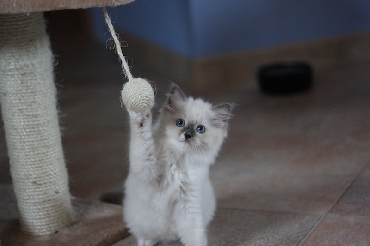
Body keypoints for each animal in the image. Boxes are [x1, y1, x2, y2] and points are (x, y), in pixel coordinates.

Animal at [124, 83, 234, 245]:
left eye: (200, 129)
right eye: (180, 123)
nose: (187, 135)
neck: (177, 162)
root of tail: (166, 238)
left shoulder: (188, 202)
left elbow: (194, 235)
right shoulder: (146, 168)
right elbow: (142, 135)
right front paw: (141, 114)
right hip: (139, 220)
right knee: (146, 235)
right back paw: (147, 242)